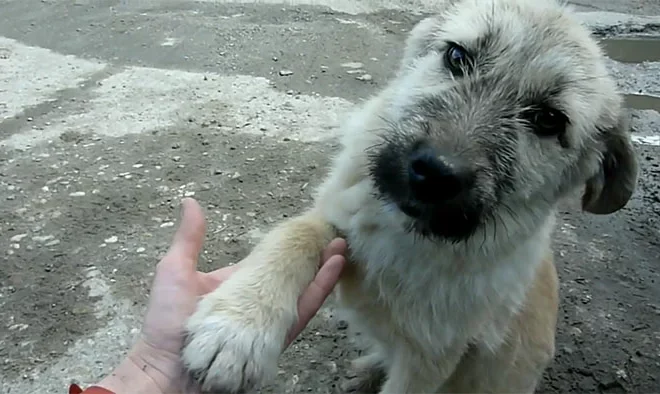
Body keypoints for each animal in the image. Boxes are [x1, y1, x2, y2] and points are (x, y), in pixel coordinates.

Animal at [182, 0, 640, 392]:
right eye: (457, 57)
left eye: (548, 120)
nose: (435, 173)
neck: (408, 237)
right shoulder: (339, 215)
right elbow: (292, 235)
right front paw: (237, 326)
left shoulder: (431, 359)